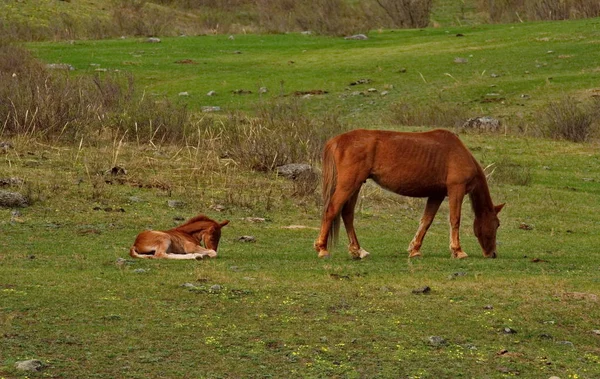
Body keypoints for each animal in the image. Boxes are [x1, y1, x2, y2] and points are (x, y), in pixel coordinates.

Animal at [316, 129, 504, 260]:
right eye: (496, 224)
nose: (493, 254)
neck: (458, 152)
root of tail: (336, 141)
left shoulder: (436, 194)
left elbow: (426, 221)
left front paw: (415, 250)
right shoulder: (455, 189)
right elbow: (454, 219)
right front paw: (458, 251)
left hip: (355, 187)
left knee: (347, 214)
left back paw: (358, 251)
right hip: (349, 185)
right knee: (331, 210)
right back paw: (322, 249)